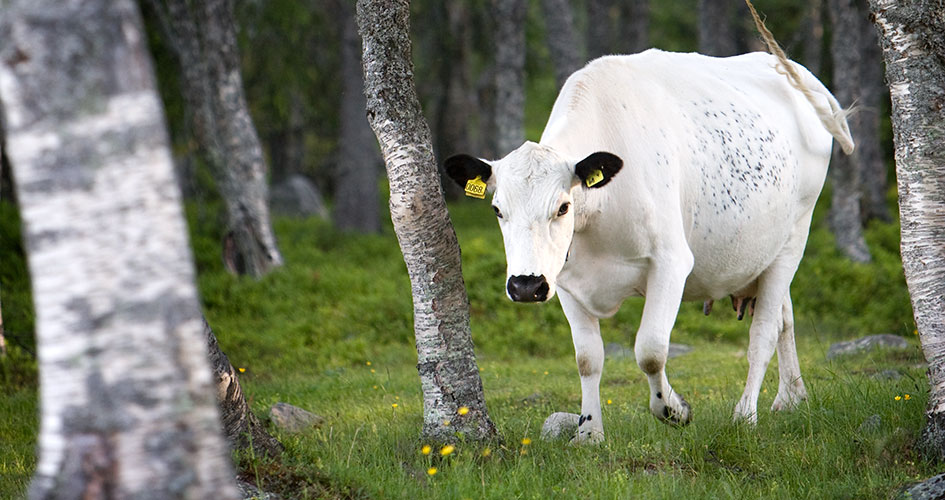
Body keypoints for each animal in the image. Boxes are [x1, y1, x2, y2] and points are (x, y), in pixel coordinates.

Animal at [446, 48, 852, 444]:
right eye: (498, 209)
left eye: (563, 207)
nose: (525, 286)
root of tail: (796, 73)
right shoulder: (564, 278)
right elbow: (587, 358)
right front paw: (589, 432)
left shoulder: (671, 263)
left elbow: (651, 350)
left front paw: (674, 410)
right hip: (765, 254)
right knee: (785, 318)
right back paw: (791, 397)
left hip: (794, 237)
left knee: (763, 333)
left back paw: (745, 416)